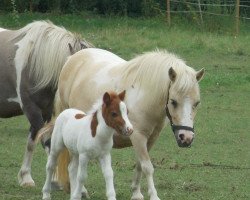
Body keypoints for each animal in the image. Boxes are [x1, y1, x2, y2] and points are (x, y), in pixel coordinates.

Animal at [0, 21, 92, 187]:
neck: (35, 63)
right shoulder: (32, 110)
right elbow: (46, 142)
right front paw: (52, 179)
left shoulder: (46, 112)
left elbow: (33, 142)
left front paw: (26, 177)